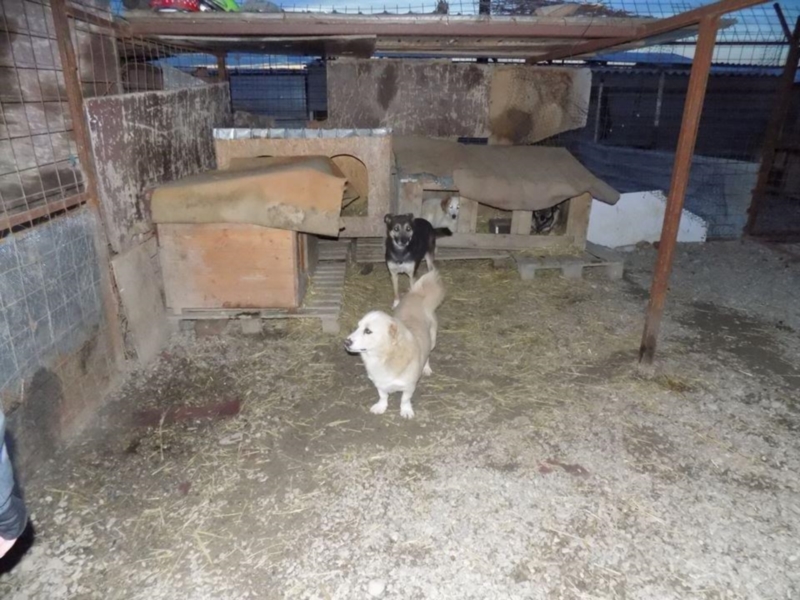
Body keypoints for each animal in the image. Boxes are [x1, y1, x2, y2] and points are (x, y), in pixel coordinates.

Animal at [344, 270, 445, 419]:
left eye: (368, 331)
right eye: (358, 327)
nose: (346, 342)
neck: (384, 357)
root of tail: (417, 295)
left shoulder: (409, 386)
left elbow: (405, 399)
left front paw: (406, 410)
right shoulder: (379, 383)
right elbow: (382, 396)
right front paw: (381, 406)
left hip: (432, 340)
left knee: (428, 354)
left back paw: (426, 368)